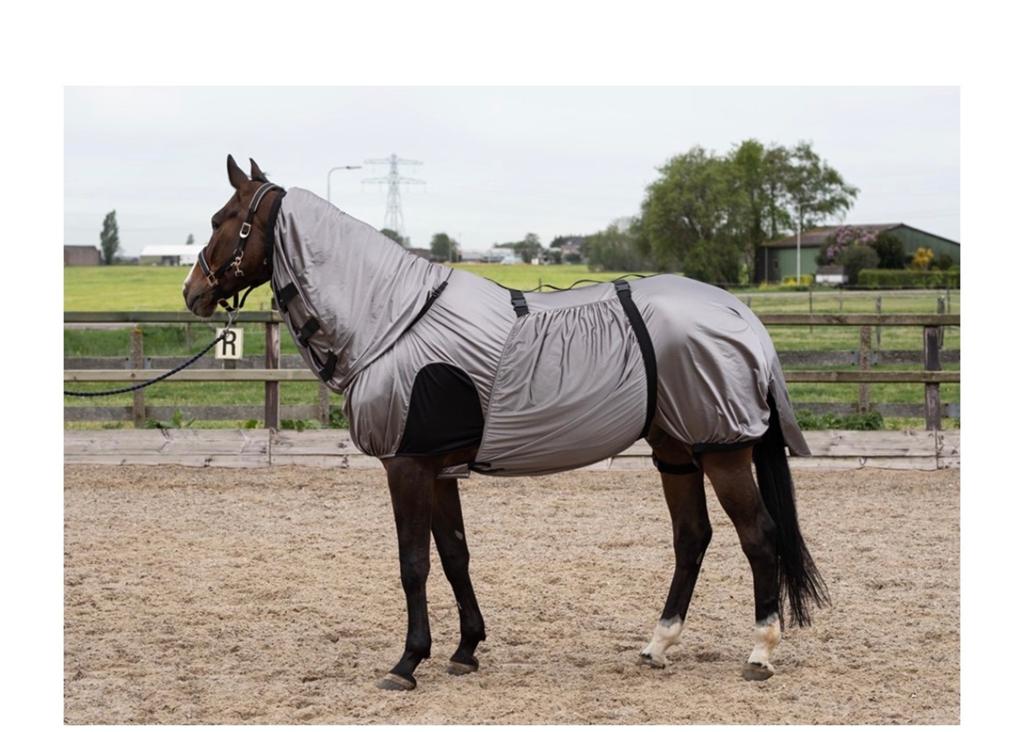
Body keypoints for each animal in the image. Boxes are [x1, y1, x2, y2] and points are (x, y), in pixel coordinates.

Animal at [183, 155, 829, 691]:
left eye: (223, 219)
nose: (192, 292)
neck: (393, 320)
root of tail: (739, 313)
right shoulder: (439, 469)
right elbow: (454, 554)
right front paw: (465, 648)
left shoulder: (406, 465)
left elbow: (413, 563)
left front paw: (407, 662)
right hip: (676, 450)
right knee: (692, 537)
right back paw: (658, 644)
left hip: (722, 449)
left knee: (759, 537)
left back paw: (760, 652)